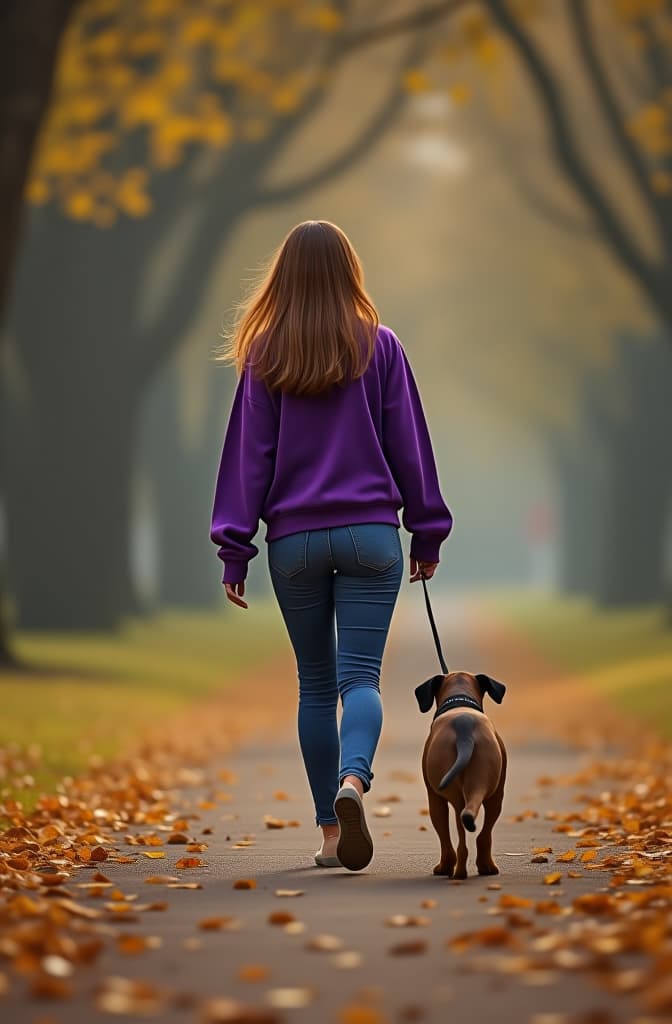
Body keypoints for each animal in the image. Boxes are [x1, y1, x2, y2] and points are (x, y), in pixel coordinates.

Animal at [413, 671, 504, 880]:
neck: (460, 700)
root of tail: (465, 727)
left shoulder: (434, 798)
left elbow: (443, 835)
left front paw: (444, 866)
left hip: (455, 795)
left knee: (461, 836)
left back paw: (458, 871)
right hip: (491, 791)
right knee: (483, 832)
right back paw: (486, 866)